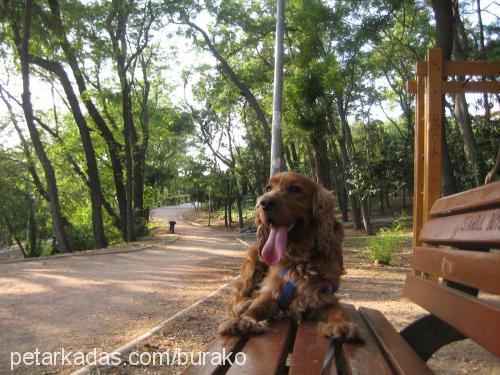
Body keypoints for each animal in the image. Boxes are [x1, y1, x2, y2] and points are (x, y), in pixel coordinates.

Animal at [219, 172, 360, 342]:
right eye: (268, 188)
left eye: (295, 189)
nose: (264, 203)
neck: (299, 261)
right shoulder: (270, 293)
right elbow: (256, 307)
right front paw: (242, 321)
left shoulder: (321, 297)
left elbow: (337, 310)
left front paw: (342, 325)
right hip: (254, 260)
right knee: (239, 293)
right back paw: (244, 303)